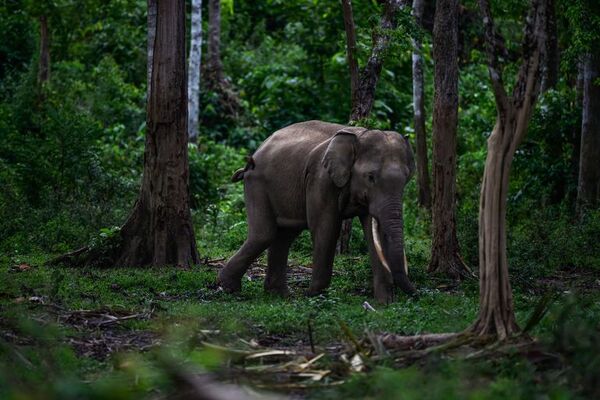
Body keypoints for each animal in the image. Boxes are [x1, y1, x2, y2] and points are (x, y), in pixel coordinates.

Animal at [217, 119, 418, 304]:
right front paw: (313, 296)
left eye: (406, 178)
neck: (359, 136)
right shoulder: (320, 179)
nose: (417, 294)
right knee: (264, 234)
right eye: (370, 177)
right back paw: (228, 289)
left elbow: (373, 232)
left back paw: (279, 295)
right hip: (257, 183)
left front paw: (385, 303)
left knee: (284, 235)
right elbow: (326, 228)